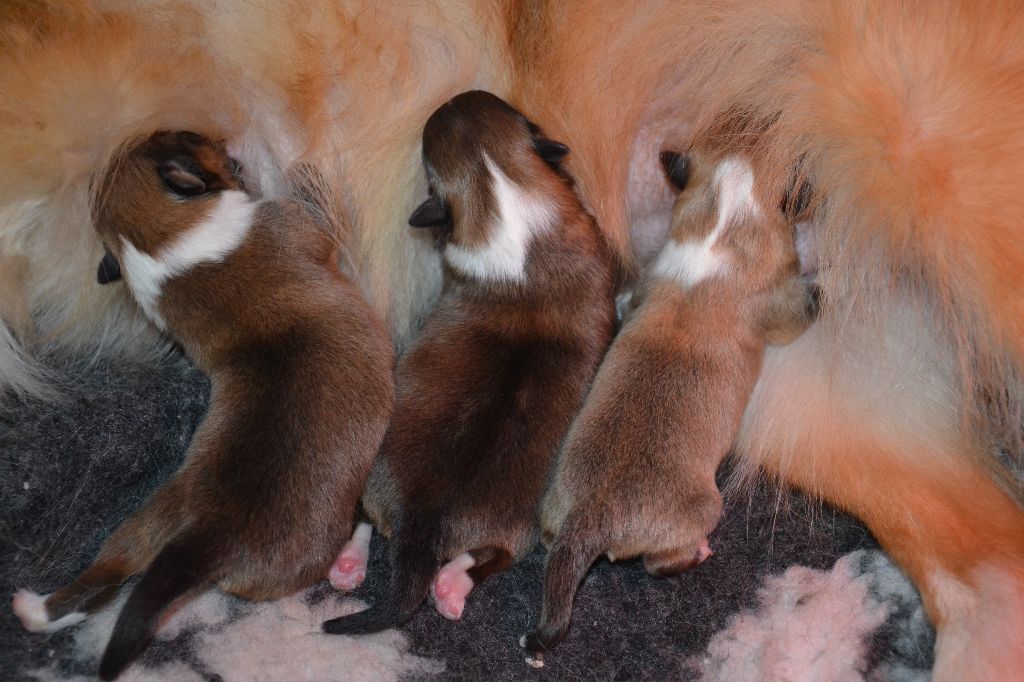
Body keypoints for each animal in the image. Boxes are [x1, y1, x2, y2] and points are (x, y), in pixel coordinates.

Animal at [9, 131, 393, 675]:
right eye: (187, 136)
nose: (221, 138)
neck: (155, 242)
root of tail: (212, 537)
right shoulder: (297, 222)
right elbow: (311, 203)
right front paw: (282, 161)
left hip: (148, 522)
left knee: (108, 577)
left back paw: (35, 609)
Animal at [321, 89, 614, 630]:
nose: (456, 95)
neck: (497, 192)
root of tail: (424, 519)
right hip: (517, 527)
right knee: (486, 557)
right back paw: (449, 585)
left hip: (378, 474)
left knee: (365, 518)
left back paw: (355, 566)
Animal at [520, 148, 815, 663]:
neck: (721, 220)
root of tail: (586, 520)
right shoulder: (783, 303)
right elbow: (802, 308)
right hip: (701, 510)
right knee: (660, 563)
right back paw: (697, 552)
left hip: (555, 508)